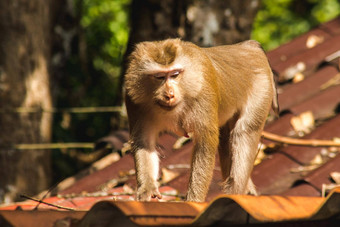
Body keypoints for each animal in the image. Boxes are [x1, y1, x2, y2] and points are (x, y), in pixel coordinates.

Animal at [123, 38, 278, 201]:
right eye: (159, 77)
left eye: (175, 74)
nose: (169, 94)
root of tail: (247, 47)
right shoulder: (133, 100)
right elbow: (143, 142)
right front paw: (147, 188)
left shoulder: (203, 90)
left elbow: (205, 143)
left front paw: (194, 200)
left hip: (262, 85)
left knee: (245, 131)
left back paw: (235, 190)